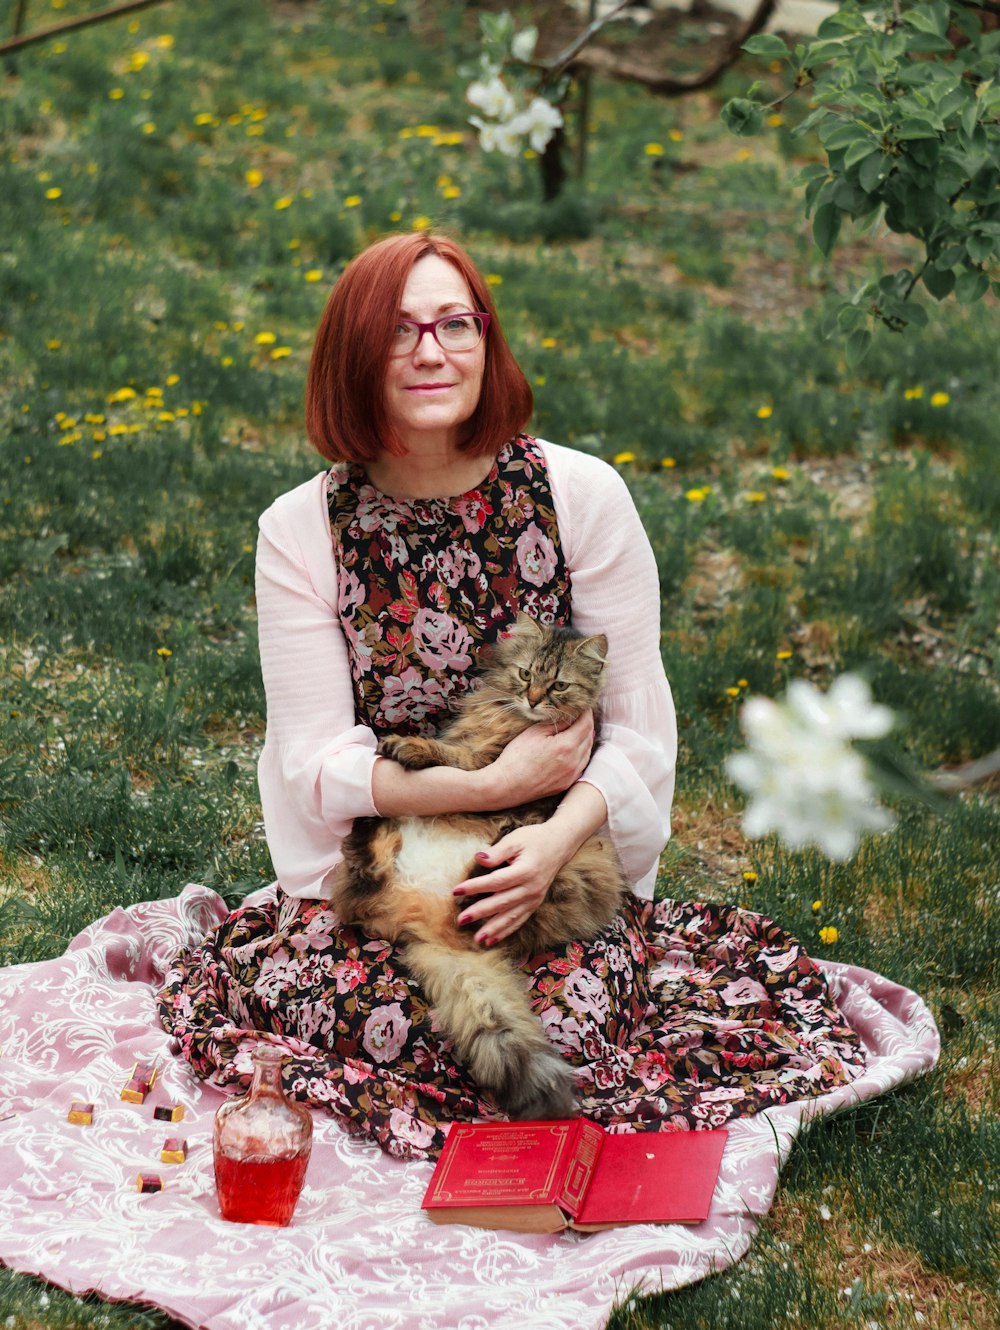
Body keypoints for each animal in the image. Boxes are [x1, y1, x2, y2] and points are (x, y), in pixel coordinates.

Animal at [328, 611, 625, 1122]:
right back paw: (371, 827)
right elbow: (455, 758)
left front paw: (412, 747)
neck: (512, 719)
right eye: (526, 675)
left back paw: (490, 853)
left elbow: (456, 760)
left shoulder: (485, 763)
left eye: (558, 685)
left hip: (582, 866)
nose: (533, 699)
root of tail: (428, 927)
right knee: (365, 875)